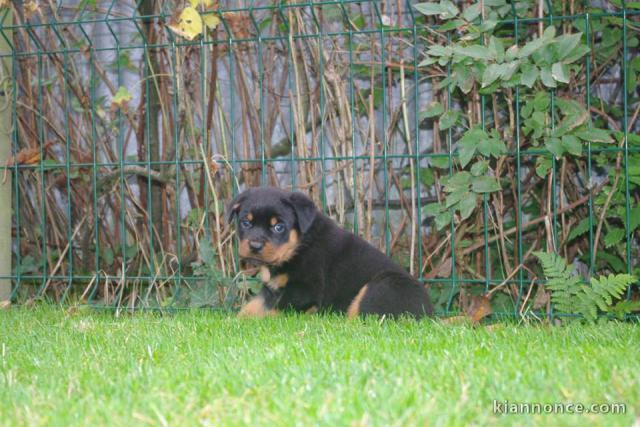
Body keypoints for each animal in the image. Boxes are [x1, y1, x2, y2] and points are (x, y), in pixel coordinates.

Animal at [226, 186, 436, 320]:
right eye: (246, 222)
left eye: (278, 227)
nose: (254, 245)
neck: (300, 244)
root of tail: (429, 314)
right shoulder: (271, 290)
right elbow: (251, 307)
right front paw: (233, 322)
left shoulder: (305, 289)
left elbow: (273, 312)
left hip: (380, 287)